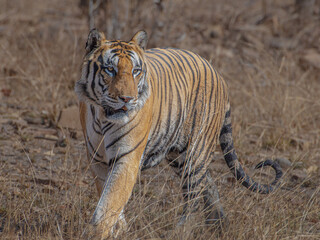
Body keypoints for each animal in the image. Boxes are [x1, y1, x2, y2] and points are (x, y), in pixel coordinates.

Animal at [75, 29, 282, 237]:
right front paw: (120, 229)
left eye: (136, 71)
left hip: (196, 153)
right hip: (179, 155)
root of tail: (216, 72)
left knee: (194, 198)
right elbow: (109, 199)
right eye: (110, 69)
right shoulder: (97, 160)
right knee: (208, 185)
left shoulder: (126, 158)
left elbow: (109, 202)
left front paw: (98, 233)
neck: (103, 116)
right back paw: (219, 226)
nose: (127, 99)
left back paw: (182, 231)